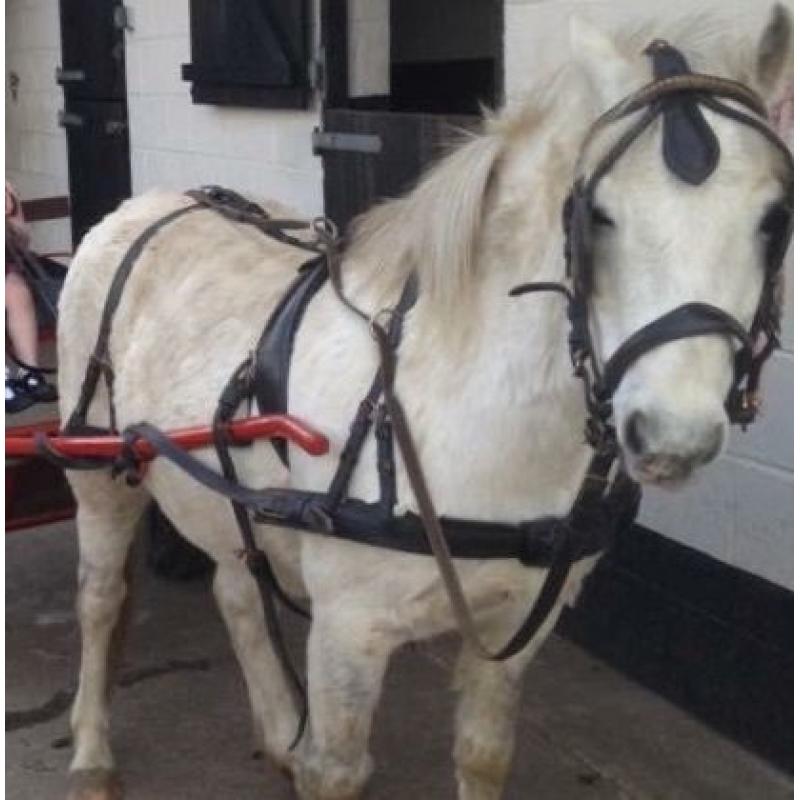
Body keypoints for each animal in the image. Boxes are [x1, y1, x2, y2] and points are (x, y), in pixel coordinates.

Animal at [58, 8, 792, 800]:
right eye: (597, 215)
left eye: (774, 218)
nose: (671, 435)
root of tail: (148, 204)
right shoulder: (347, 633)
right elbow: (335, 771)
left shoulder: (513, 629)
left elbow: (482, 755)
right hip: (99, 474)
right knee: (98, 600)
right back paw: (92, 753)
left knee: (237, 592)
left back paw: (277, 731)